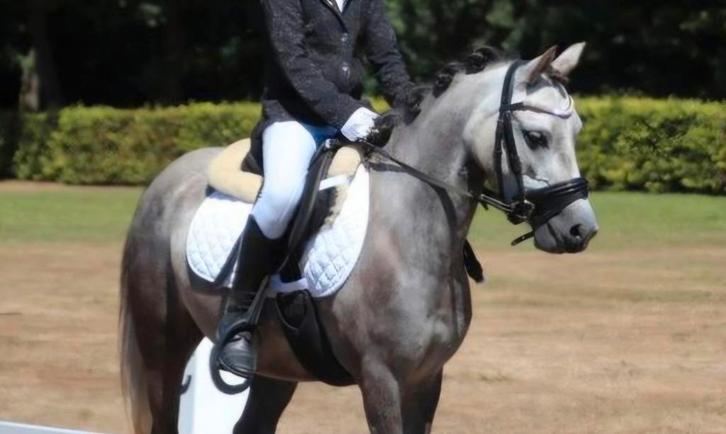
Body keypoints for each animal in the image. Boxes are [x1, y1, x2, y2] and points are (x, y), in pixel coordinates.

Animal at [120, 43, 598, 434]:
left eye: (576, 130)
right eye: (535, 137)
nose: (581, 229)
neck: (409, 232)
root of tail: (167, 177)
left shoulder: (426, 378)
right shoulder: (380, 377)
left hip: (277, 364)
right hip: (162, 345)